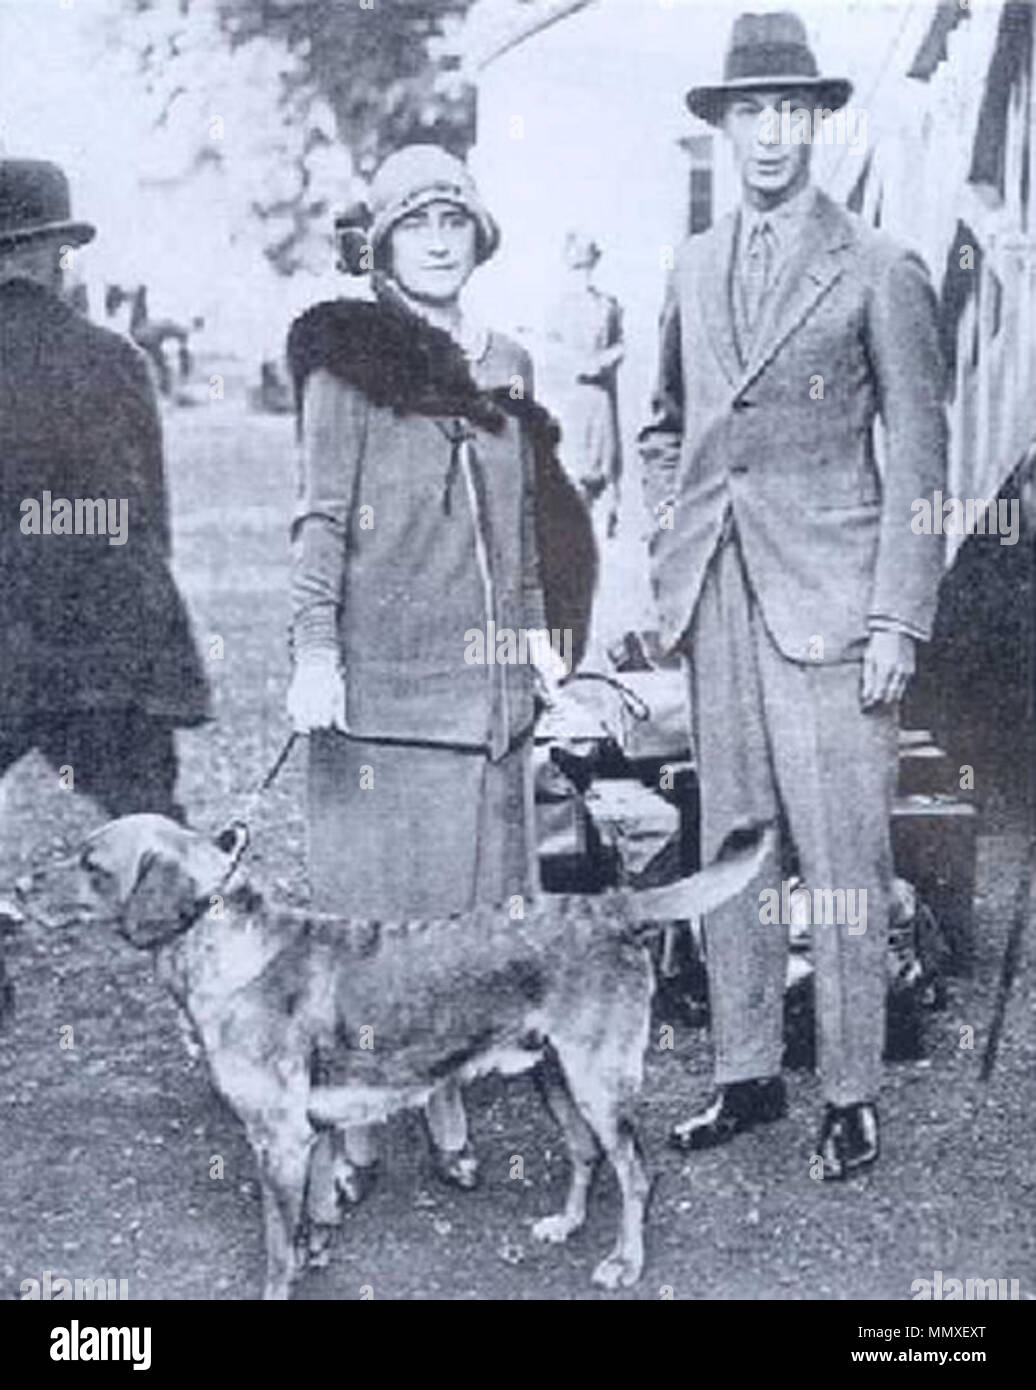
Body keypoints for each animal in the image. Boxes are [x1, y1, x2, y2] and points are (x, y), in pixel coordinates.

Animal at [20, 811, 773, 1295]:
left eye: (91, 864)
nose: (21, 887)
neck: (220, 937)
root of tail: (611, 905)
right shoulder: (309, 1135)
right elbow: (313, 1216)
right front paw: (317, 1251)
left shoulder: (278, 1139)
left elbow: (275, 1247)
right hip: (556, 1074)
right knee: (587, 1156)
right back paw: (566, 1224)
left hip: (597, 1081)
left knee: (636, 1172)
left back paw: (626, 1263)